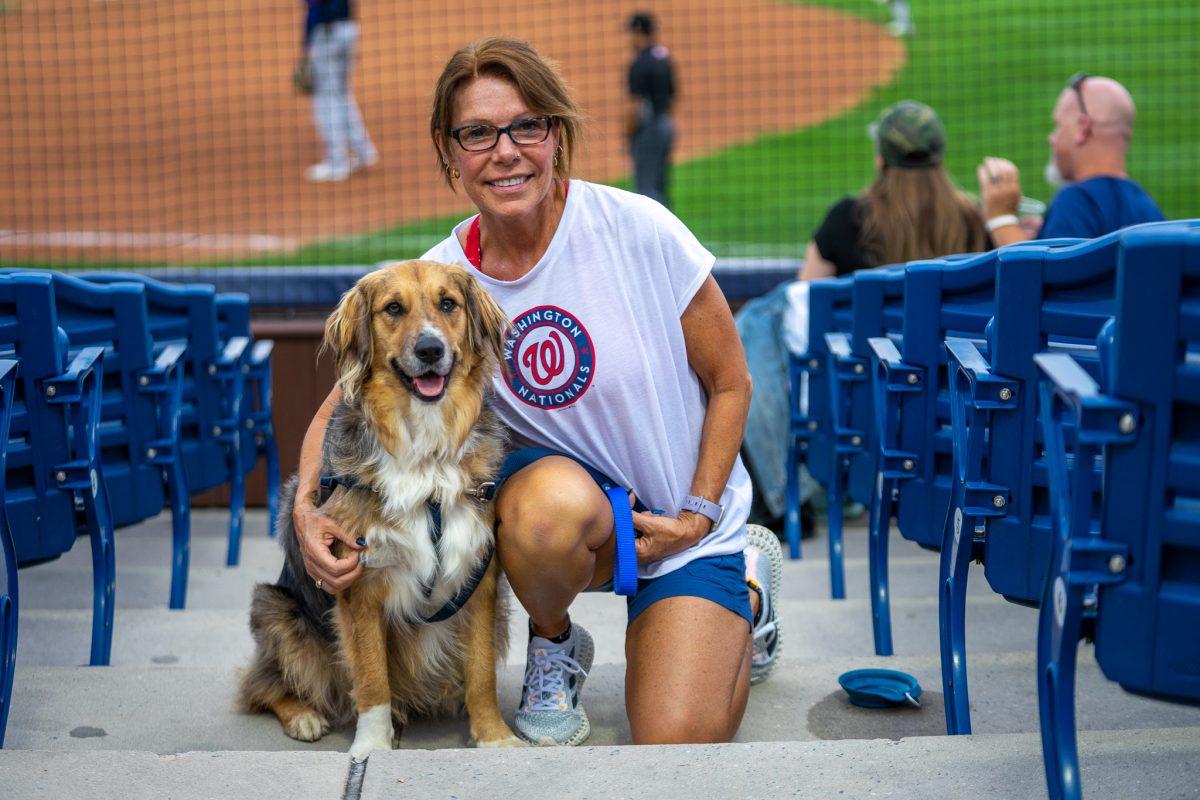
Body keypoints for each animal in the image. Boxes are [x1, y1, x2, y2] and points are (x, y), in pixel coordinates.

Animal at [236, 260, 523, 762]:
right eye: (393, 309)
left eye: (448, 303)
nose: (430, 349)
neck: (426, 454)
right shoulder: (358, 585)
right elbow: (371, 680)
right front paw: (372, 745)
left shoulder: (481, 578)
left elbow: (482, 671)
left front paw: (492, 735)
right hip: (275, 610)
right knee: (261, 686)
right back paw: (304, 716)